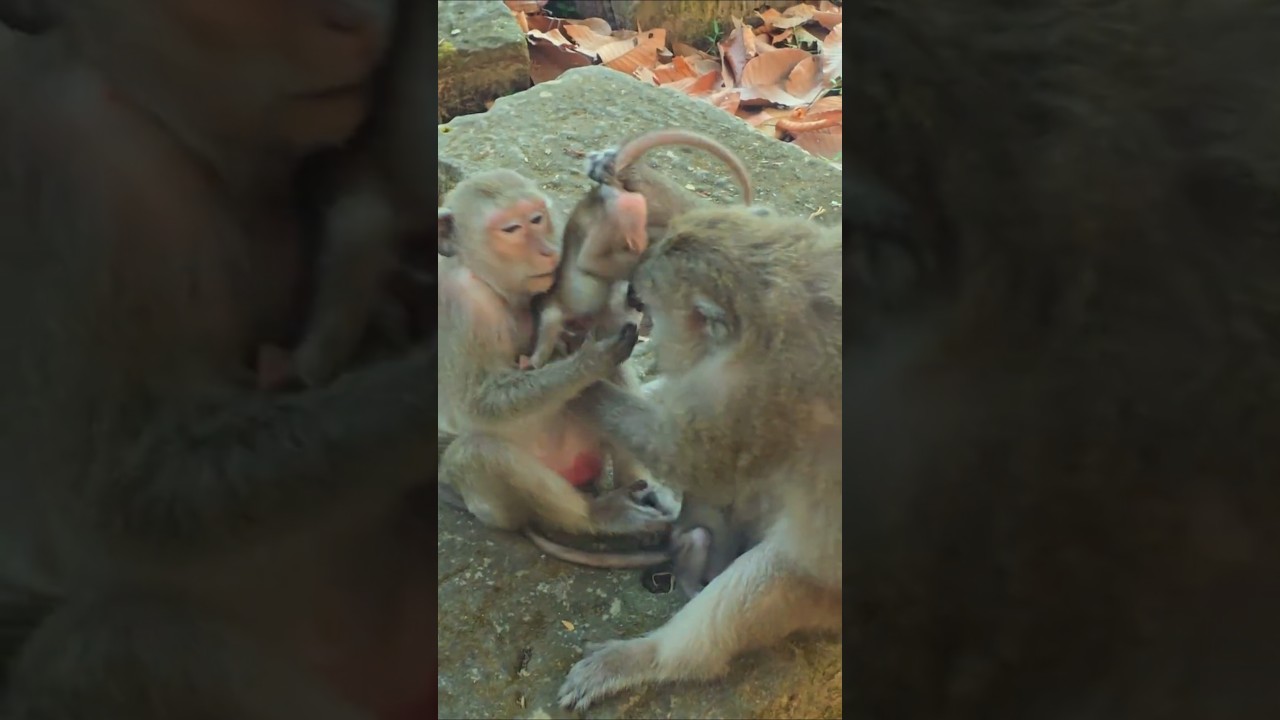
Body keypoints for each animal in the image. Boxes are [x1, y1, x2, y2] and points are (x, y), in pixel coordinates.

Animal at [437, 169, 676, 547]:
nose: (547, 251)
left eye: (537, 219)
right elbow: (479, 404)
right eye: (511, 229)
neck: (495, 286)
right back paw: (598, 515)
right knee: (478, 454)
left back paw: (642, 485)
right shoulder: (460, 302)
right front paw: (589, 361)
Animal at [554, 205, 843, 711]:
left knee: (779, 570)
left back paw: (653, 657)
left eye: (648, 300)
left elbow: (685, 454)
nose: (645, 330)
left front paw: (584, 383)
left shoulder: (754, 395)